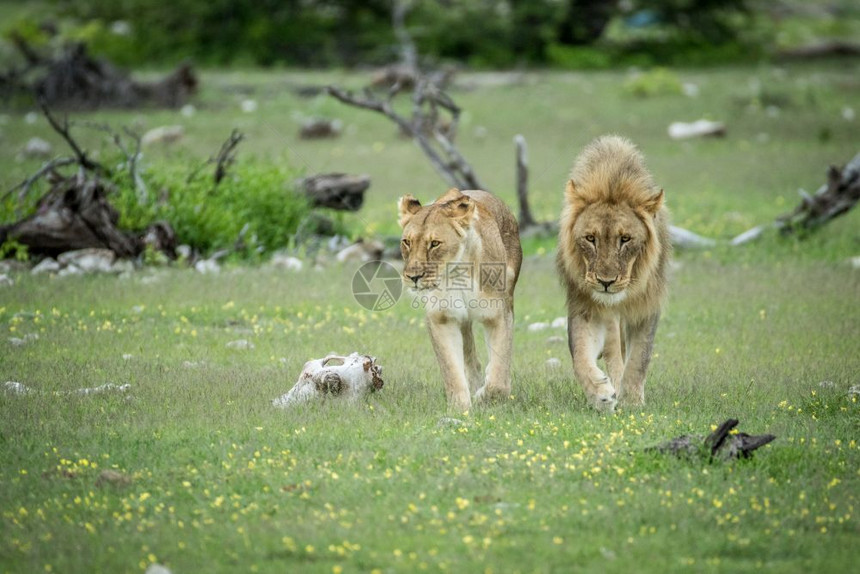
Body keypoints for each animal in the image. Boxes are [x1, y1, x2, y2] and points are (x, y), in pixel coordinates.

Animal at [398, 191, 524, 412]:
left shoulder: (499, 315)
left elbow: (499, 378)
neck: (458, 274)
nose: (413, 277)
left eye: (435, 243)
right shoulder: (441, 319)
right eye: (407, 242)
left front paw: (483, 397)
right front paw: (460, 409)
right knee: (470, 355)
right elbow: (451, 370)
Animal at [556, 137, 672, 412]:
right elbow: (580, 356)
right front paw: (600, 394)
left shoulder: (647, 307)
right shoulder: (585, 306)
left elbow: (639, 358)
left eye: (625, 239)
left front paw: (632, 401)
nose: (605, 282)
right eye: (590, 238)